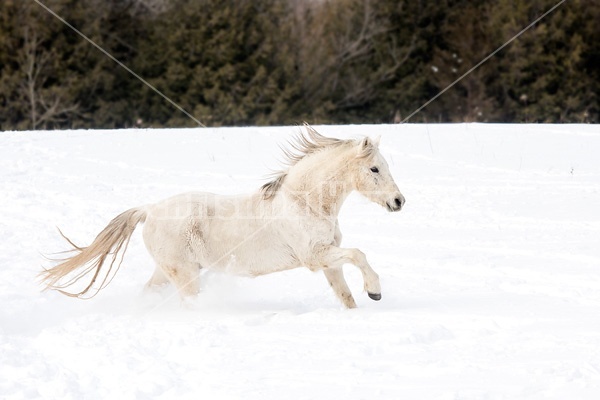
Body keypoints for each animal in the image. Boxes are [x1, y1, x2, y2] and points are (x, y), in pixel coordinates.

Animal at [42, 126, 406, 310]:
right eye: (375, 169)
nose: (398, 201)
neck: (304, 202)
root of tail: (150, 209)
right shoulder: (315, 257)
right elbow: (359, 254)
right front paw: (375, 291)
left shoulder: (329, 261)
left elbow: (346, 295)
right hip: (185, 275)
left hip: (166, 272)